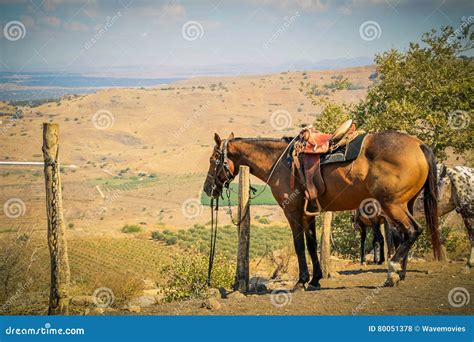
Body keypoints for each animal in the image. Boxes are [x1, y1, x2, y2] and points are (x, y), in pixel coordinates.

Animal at [203, 131, 440, 288]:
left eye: (213, 159)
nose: (207, 188)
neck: (280, 163)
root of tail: (419, 145)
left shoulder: (293, 212)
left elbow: (299, 245)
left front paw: (301, 281)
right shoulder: (308, 213)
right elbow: (311, 244)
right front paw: (315, 279)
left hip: (392, 205)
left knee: (412, 231)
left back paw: (392, 274)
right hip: (405, 204)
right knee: (405, 235)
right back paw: (401, 274)